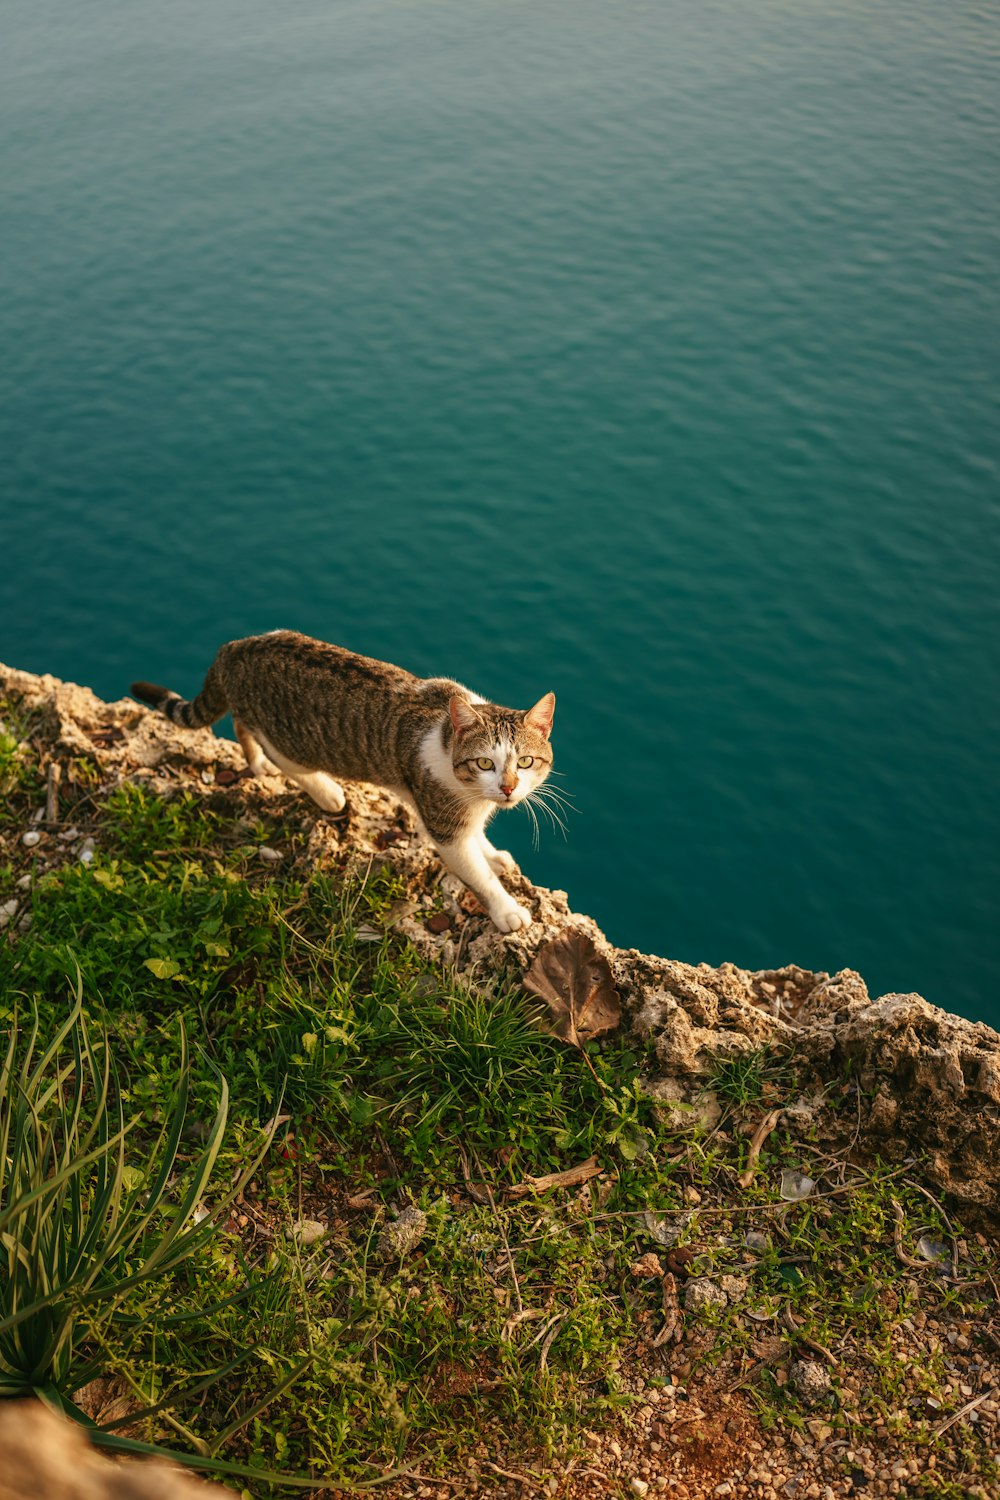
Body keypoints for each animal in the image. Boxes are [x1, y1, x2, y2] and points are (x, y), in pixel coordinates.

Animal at [128, 630, 554, 930]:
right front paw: (507, 910)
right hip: (292, 743)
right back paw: (326, 791)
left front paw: (492, 854)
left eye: (526, 762)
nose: (508, 788)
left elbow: (479, 839)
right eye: (484, 763)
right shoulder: (443, 823)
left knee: (239, 721)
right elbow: (476, 874)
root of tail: (232, 649)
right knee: (277, 752)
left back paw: (257, 762)